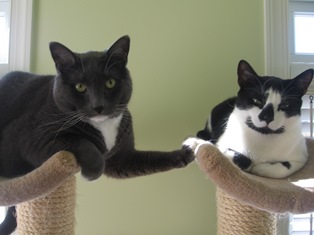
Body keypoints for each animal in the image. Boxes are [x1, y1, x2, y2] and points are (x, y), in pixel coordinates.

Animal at [0, 35, 194, 235]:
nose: (98, 106)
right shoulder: (29, 138)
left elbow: (150, 158)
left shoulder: (122, 158)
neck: (104, 125)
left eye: (110, 82)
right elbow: (80, 142)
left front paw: (185, 153)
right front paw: (93, 171)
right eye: (80, 86)